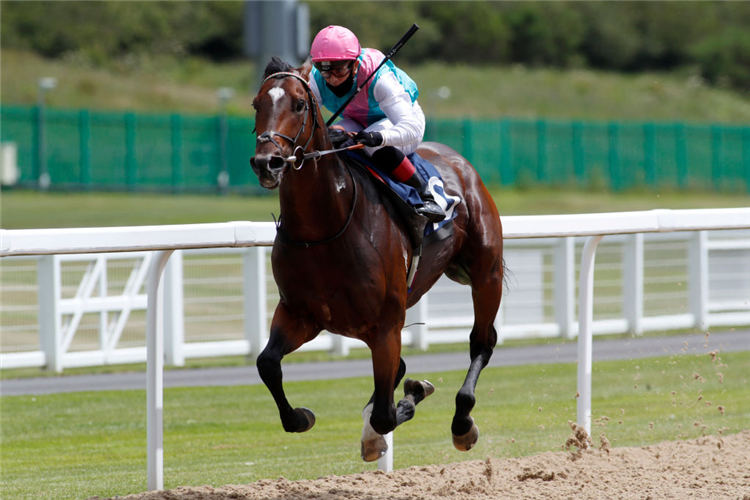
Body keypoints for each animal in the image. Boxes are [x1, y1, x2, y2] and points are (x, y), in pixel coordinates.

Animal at [251, 57, 506, 460]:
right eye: (256, 104)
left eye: (299, 104)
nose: (268, 163)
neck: (324, 229)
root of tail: (459, 162)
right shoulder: (300, 314)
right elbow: (267, 364)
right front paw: (301, 416)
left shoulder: (386, 325)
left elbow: (387, 414)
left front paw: (407, 400)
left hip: (486, 274)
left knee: (481, 342)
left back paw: (462, 423)